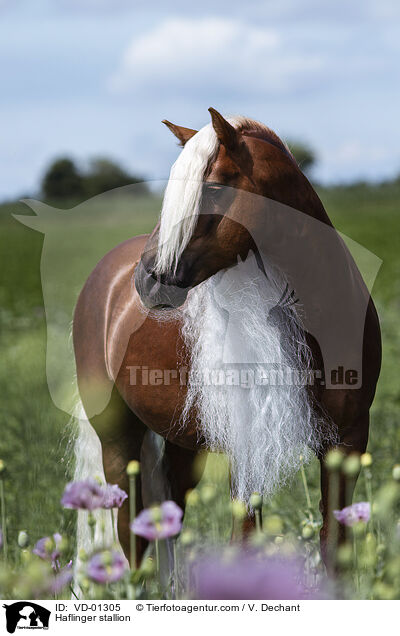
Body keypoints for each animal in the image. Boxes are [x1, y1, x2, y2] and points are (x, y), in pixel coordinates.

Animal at [72, 107, 382, 568]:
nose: (146, 280)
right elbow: (245, 541)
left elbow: (334, 549)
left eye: (215, 187)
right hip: (117, 442)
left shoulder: (347, 443)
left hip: (182, 449)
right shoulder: (247, 446)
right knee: (133, 541)